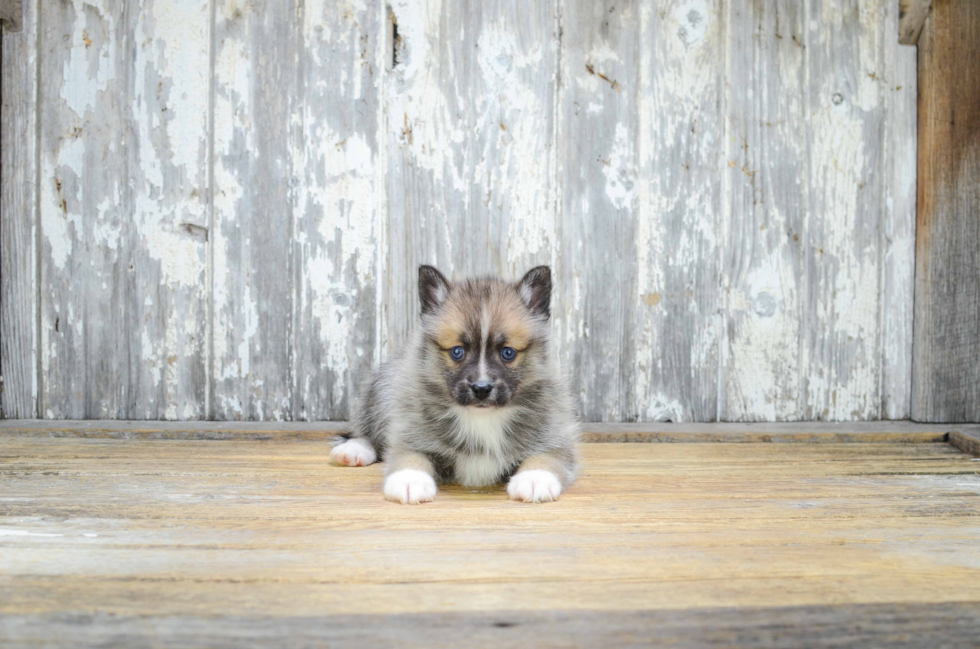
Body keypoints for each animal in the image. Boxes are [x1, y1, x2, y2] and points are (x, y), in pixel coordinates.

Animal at [334, 264, 580, 502]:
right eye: (457, 352)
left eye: (508, 353)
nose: (481, 389)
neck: (482, 418)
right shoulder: (411, 433)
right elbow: (409, 456)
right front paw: (409, 481)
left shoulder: (556, 438)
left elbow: (545, 458)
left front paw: (534, 480)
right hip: (381, 391)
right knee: (366, 432)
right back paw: (353, 450)